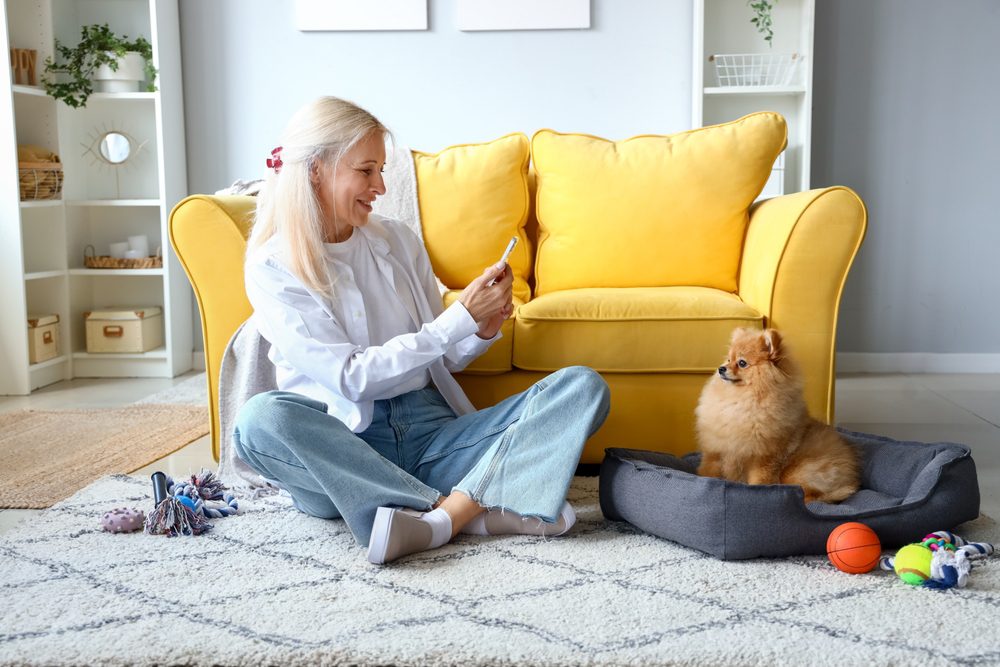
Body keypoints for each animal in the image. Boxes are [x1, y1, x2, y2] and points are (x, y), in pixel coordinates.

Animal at [696, 326, 860, 504]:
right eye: (728, 359)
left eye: (742, 363)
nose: (721, 368)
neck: (742, 401)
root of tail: (850, 475)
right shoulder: (717, 450)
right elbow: (709, 471)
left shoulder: (764, 458)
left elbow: (759, 481)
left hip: (797, 471)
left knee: (811, 494)